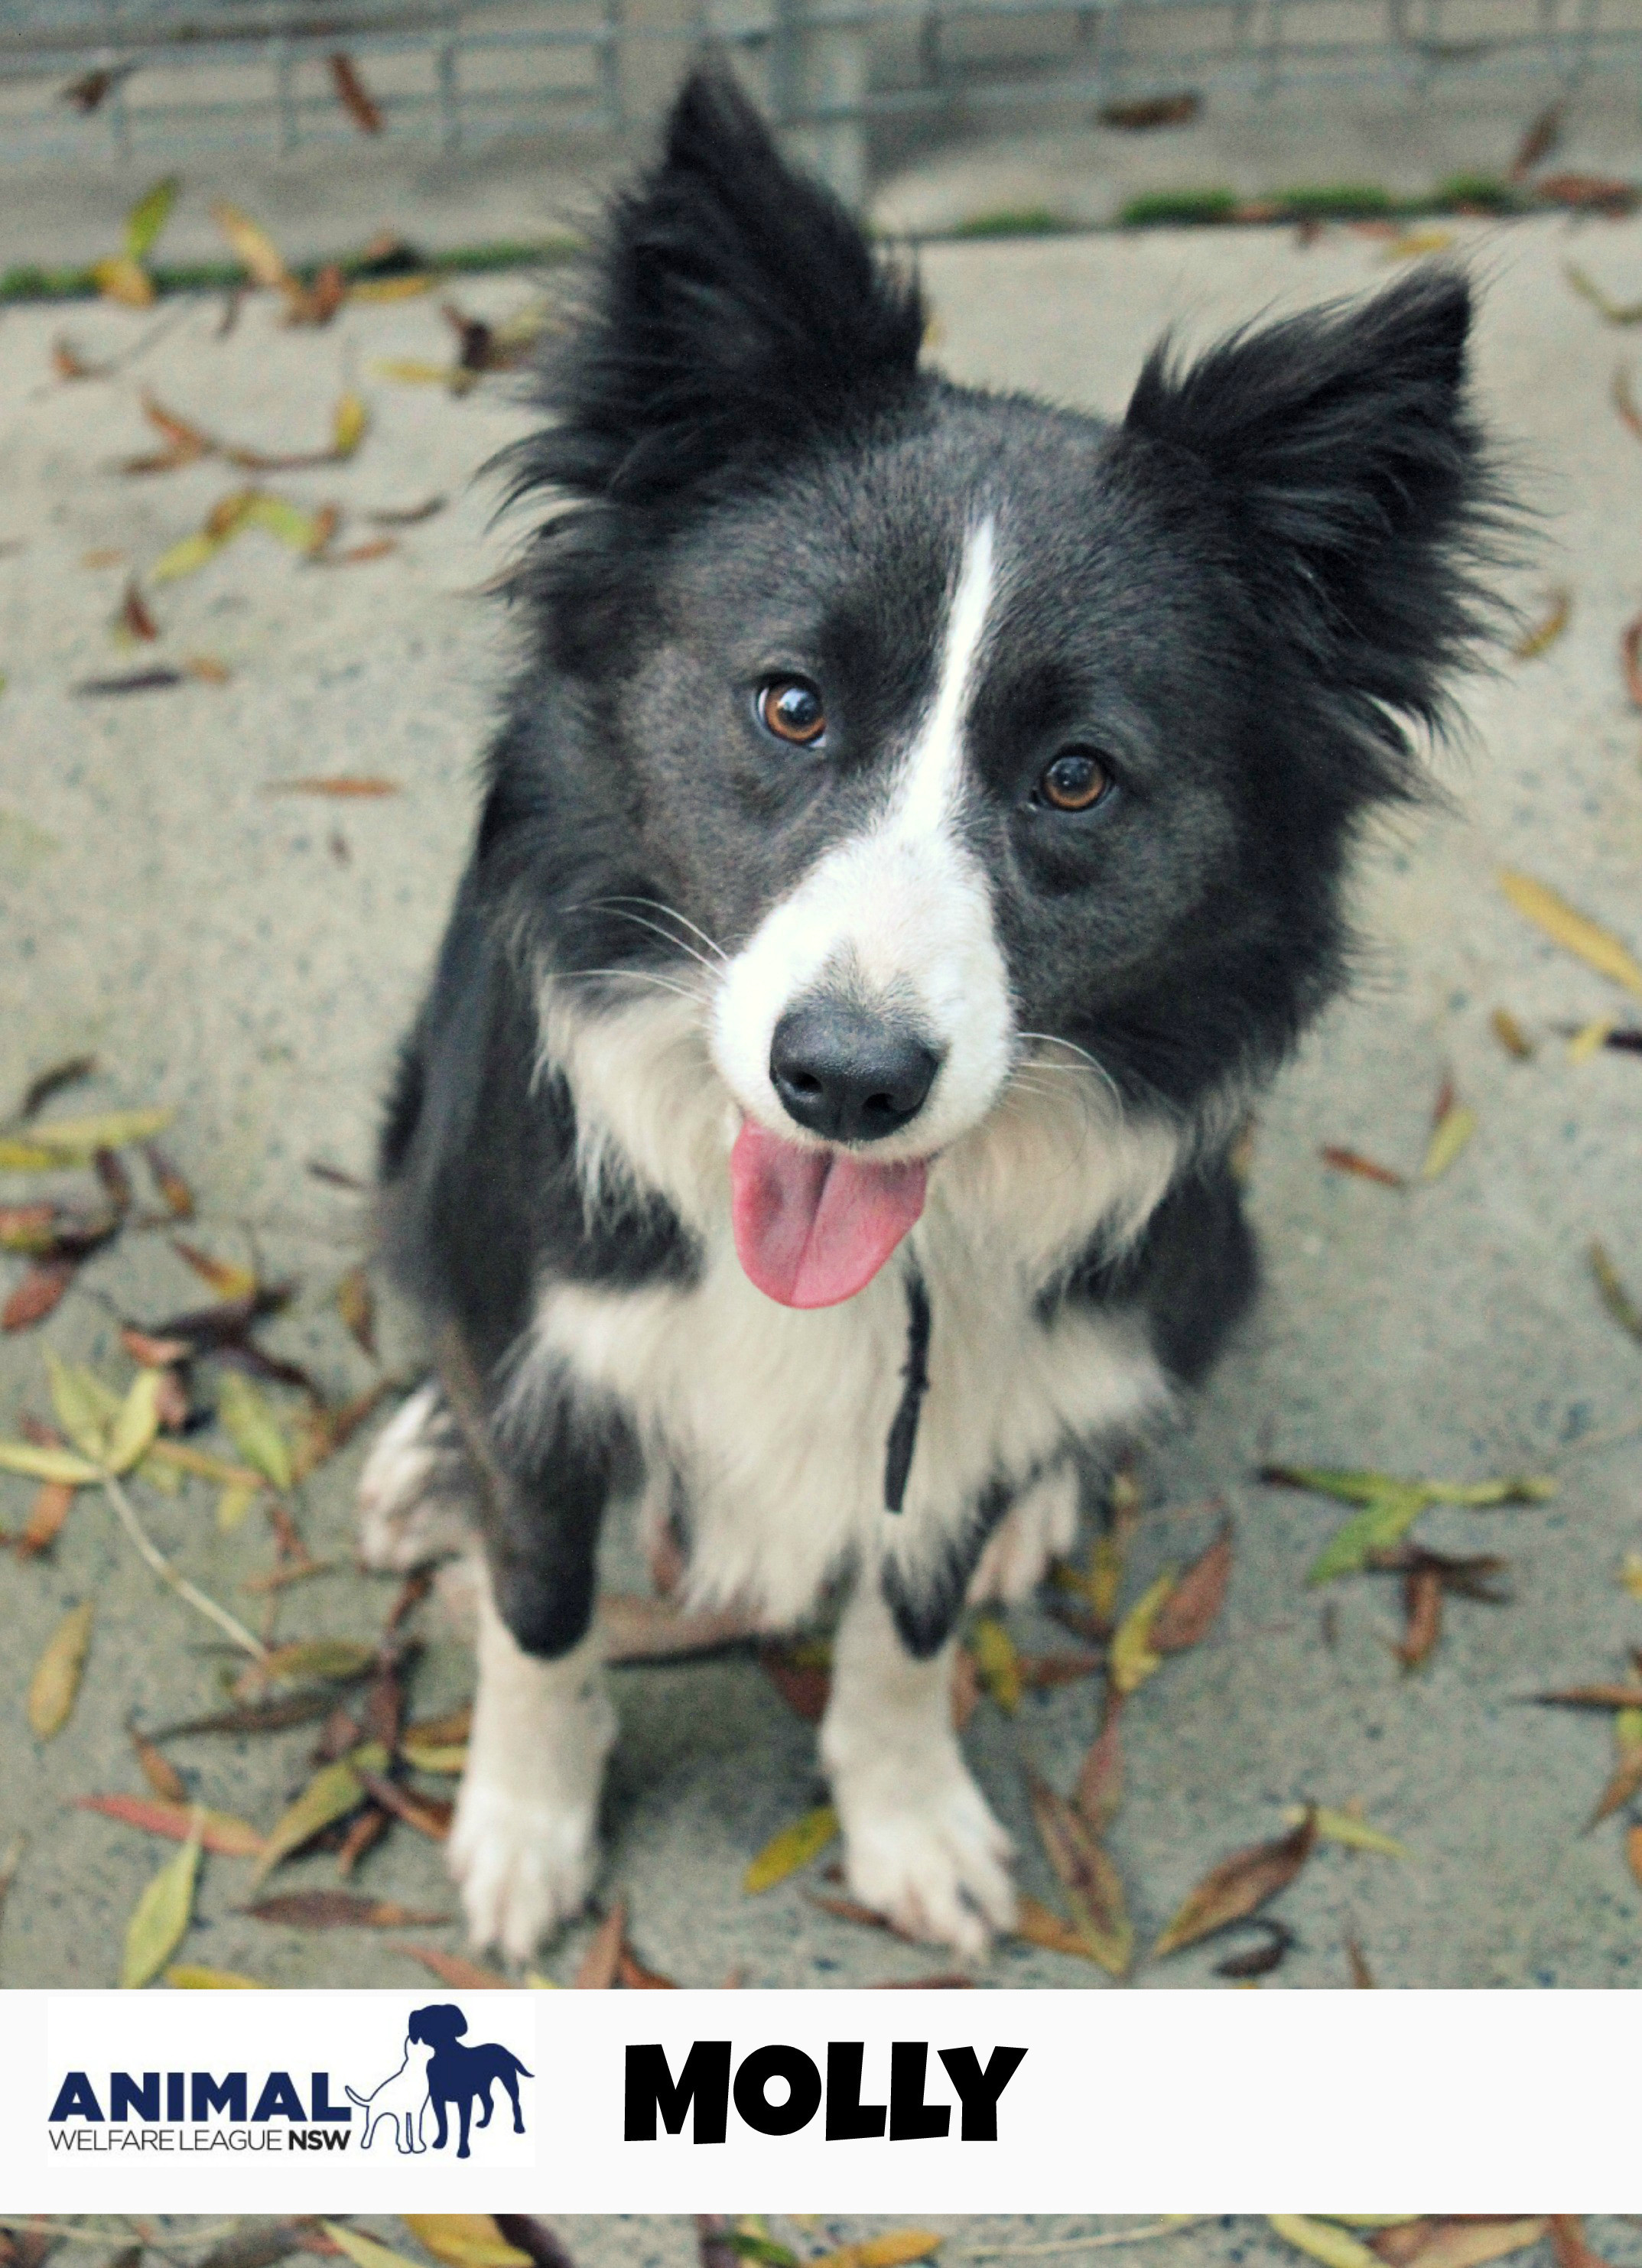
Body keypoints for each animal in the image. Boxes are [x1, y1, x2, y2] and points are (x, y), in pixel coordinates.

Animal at [345, 2033, 432, 2153]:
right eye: (426, 2046)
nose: (434, 2050)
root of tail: (371, 2100)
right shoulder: (403, 2112)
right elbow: (405, 2130)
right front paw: (406, 2147)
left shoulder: (417, 2111)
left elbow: (415, 2128)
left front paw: (417, 2147)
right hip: (373, 2116)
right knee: (369, 2129)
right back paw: (365, 2144)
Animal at [357, 61, 1501, 1960]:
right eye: (790, 704)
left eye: (1074, 777)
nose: (846, 1081)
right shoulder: (543, 1340)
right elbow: (540, 1605)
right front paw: (523, 1827)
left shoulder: (952, 1405)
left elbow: (908, 1623)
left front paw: (905, 1818)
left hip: (1202, 1253)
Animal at [406, 2003, 533, 2157]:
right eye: (424, 2020)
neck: (445, 2057)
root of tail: (505, 2050)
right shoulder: (437, 2099)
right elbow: (443, 2124)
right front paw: (440, 2143)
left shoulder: (465, 2100)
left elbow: (463, 2128)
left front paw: (463, 2151)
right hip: (483, 2086)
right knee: (489, 2102)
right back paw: (484, 2123)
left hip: (509, 2080)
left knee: (515, 2104)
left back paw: (519, 2127)